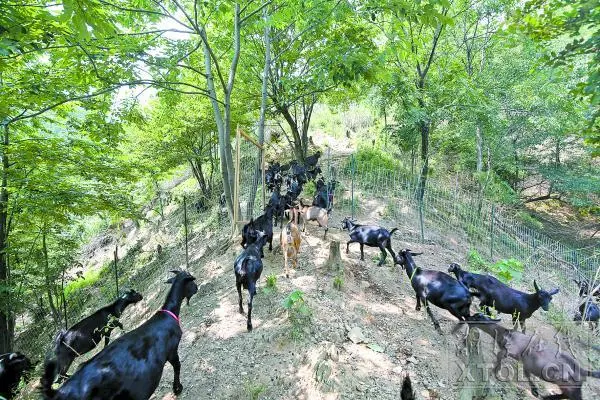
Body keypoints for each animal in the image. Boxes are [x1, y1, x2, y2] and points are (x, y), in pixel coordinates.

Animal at [40, 270, 199, 398]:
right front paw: (177, 388)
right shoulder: (171, 350)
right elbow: (177, 367)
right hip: (67, 358)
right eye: (191, 279)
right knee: (60, 375)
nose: (197, 288)